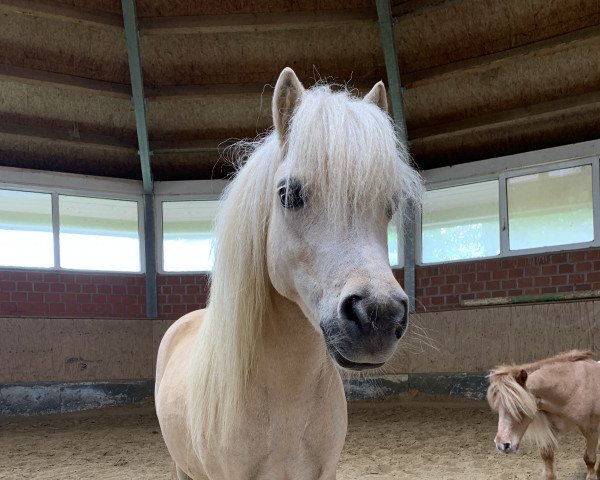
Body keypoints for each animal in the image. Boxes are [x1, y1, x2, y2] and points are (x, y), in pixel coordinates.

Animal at [488, 348, 600, 480]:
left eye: (518, 406)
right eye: (498, 408)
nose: (502, 445)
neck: (574, 388)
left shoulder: (591, 430)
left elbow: (590, 458)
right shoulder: (551, 427)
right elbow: (547, 456)